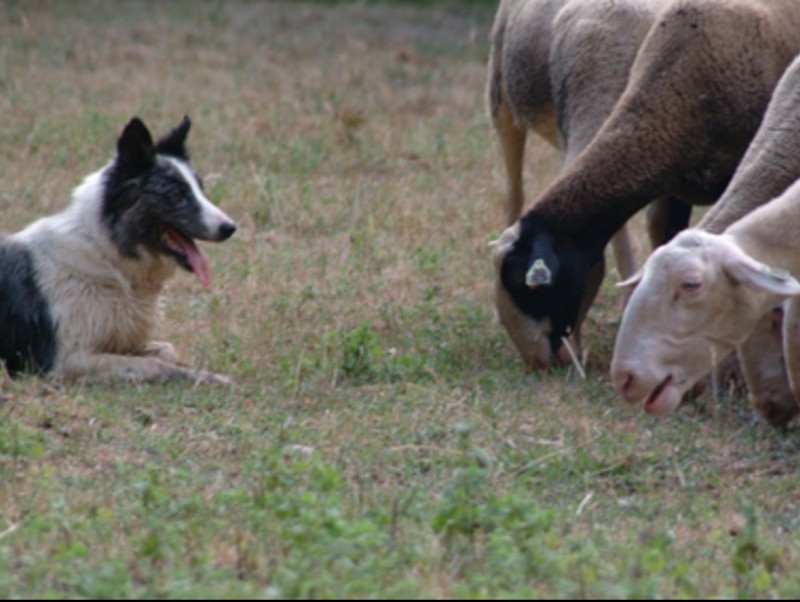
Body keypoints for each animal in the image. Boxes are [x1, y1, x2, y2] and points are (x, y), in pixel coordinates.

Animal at [0, 115, 236, 382]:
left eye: (201, 190)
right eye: (175, 194)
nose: (230, 228)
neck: (106, 253)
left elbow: (167, 350)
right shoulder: (61, 361)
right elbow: (155, 365)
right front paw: (209, 377)